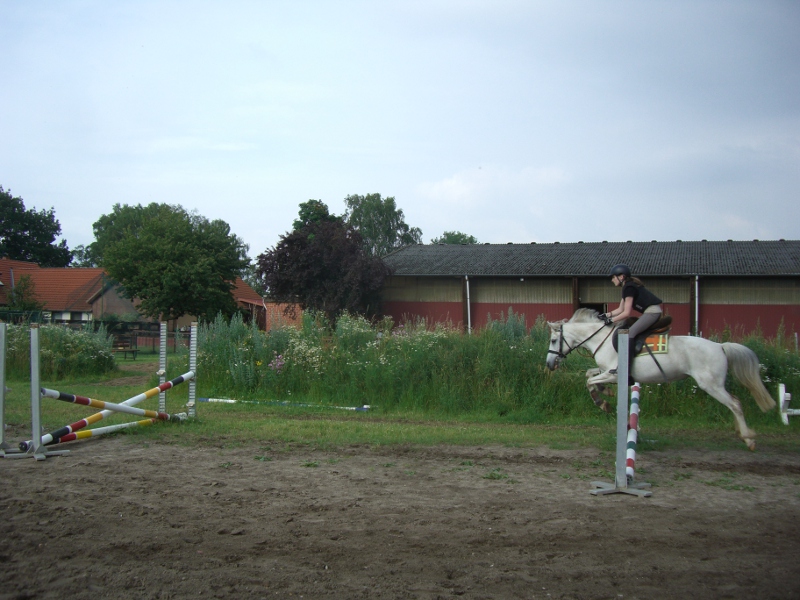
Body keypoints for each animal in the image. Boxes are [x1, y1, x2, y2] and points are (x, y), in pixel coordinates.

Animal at [545, 308, 775, 450]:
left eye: (554, 340)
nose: (549, 364)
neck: (601, 339)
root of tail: (720, 346)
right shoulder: (606, 371)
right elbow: (589, 374)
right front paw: (606, 394)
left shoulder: (613, 373)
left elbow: (590, 382)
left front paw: (604, 402)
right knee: (734, 403)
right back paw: (741, 433)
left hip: (711, 385)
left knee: (735, 404)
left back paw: (748, 438)